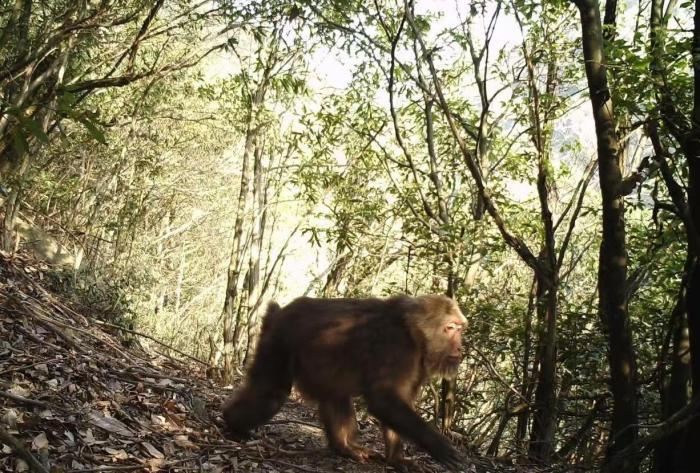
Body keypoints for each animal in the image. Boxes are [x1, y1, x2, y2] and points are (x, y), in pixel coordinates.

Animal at [221, 296, 468, 468]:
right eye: (450, 328)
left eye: (460, 328)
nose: (459, 347)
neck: (412, 333)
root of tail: (279, 312)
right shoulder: (397, 350)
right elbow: (384, 400)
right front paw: (438, 445)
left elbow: (397, 401)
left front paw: (396, 459)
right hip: (278, 341)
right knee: (273, 394)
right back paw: (233, 423)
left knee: (335, 394)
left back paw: (344, 447)